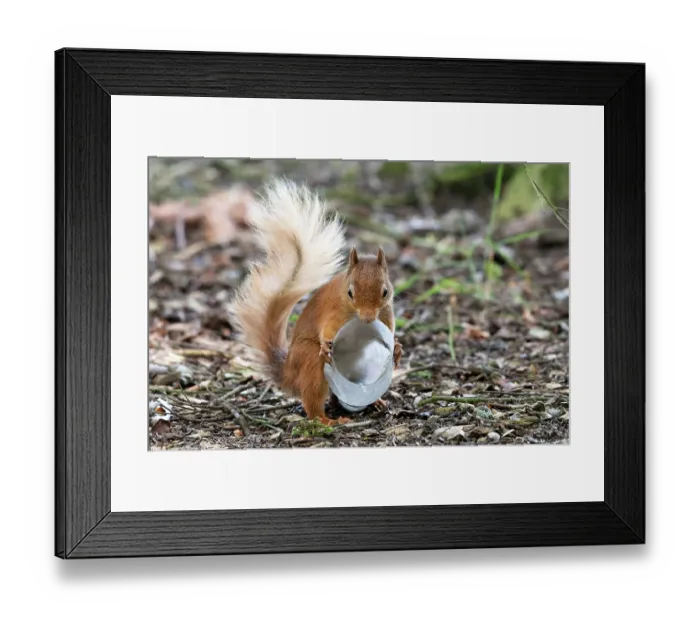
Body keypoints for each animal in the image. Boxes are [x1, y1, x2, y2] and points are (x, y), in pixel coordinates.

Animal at [229, 179, 402, 426]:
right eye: (350, 293)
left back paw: (374, 402)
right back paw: (326, 420)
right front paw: (325, 344)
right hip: (311, 363)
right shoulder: (333, 311)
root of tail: (289, 373)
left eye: (385, 292)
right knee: (312, 401)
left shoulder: (386, 313)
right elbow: (326, 329)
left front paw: (397, 348)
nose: (369, 319)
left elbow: (389, 331)